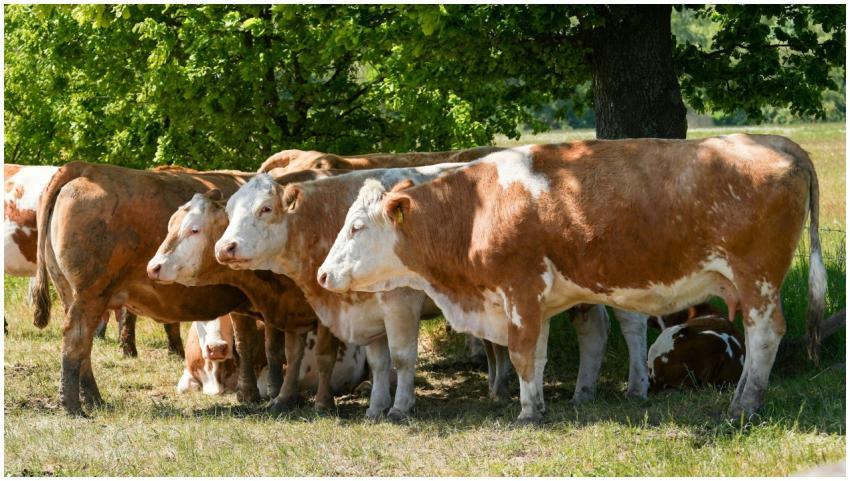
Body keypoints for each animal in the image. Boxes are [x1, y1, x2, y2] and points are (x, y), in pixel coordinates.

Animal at [32, 161, 267, 415]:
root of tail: (87, 168)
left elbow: (245, 341)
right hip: (90, 293)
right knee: (76, 339)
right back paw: (73, 406)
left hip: (70, 292)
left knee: (84, 347)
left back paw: (93, 399)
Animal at [214, 166, 649, 420]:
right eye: (230, 211)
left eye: (265, 209)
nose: (225, 248)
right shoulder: (369, 313)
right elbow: (379, 362)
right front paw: (375, 407)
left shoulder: (399, 301)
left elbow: (403, 358)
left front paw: (400, 407)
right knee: (592, 330)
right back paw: (582, 392)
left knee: (631, 326)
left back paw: (637, 386)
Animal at [316, 134, 826, 422]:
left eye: (356, 226)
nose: (323, 273)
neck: (476, 209)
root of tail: (778, 143)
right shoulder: (536, 302)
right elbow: (538, 356)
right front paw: (538, 404)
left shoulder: (520, 291)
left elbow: (523, 355)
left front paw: (527, 413)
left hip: (758, 278)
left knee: (765, 335)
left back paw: (745, 405)